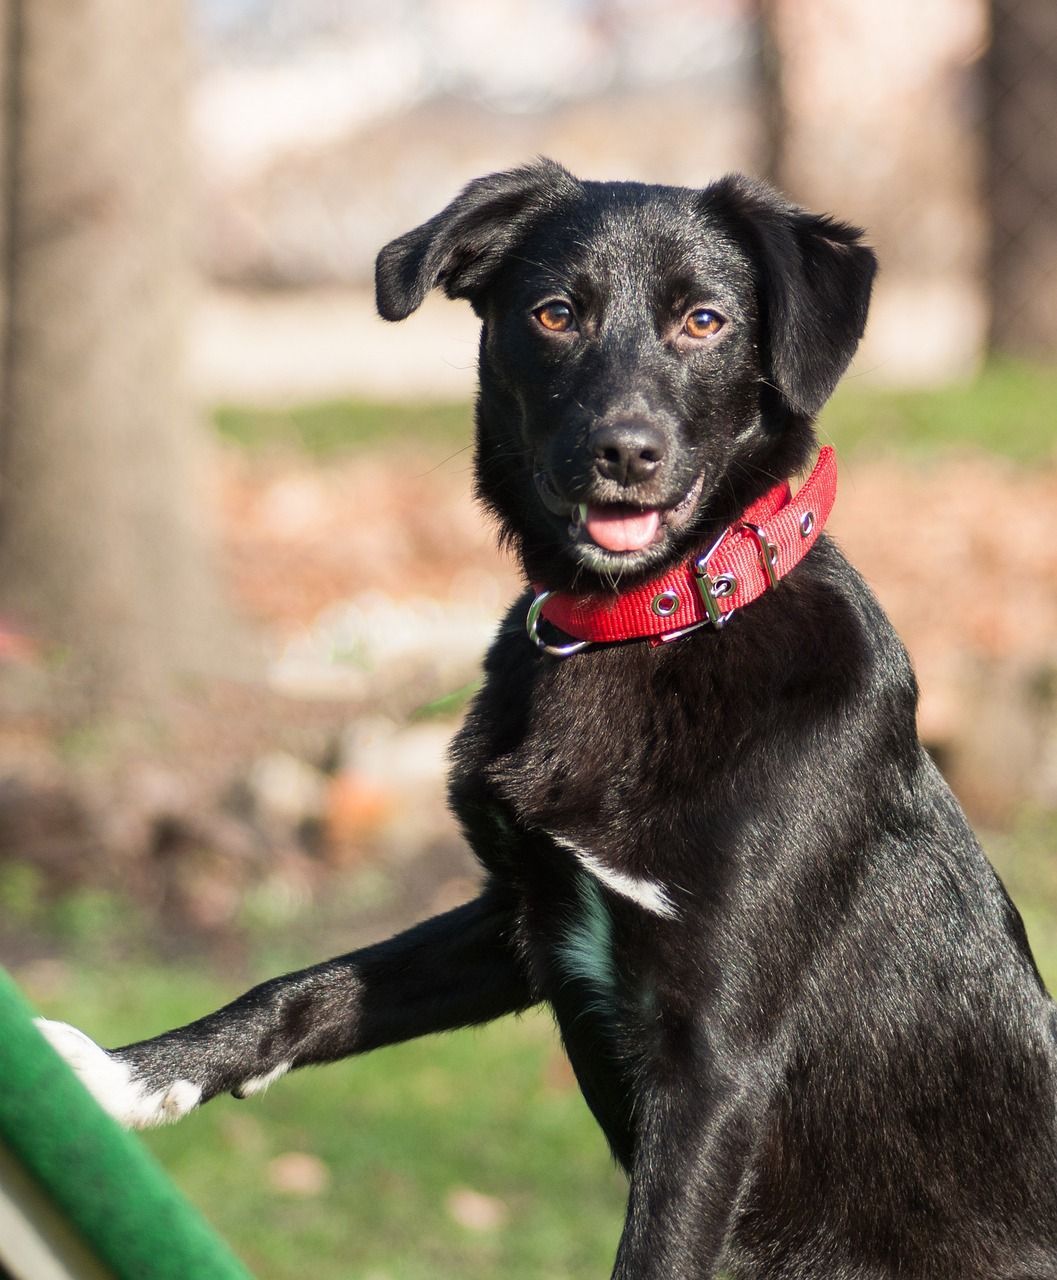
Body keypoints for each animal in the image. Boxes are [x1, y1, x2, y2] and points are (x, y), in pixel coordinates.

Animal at [40, 160, 1057, 1278]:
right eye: (554, 313)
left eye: (704, 320)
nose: (624, 451)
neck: (638, 622)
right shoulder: (529, 915)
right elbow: (305, 990)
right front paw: (126, 1075)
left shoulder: (715, 1060)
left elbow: (655, 1248)